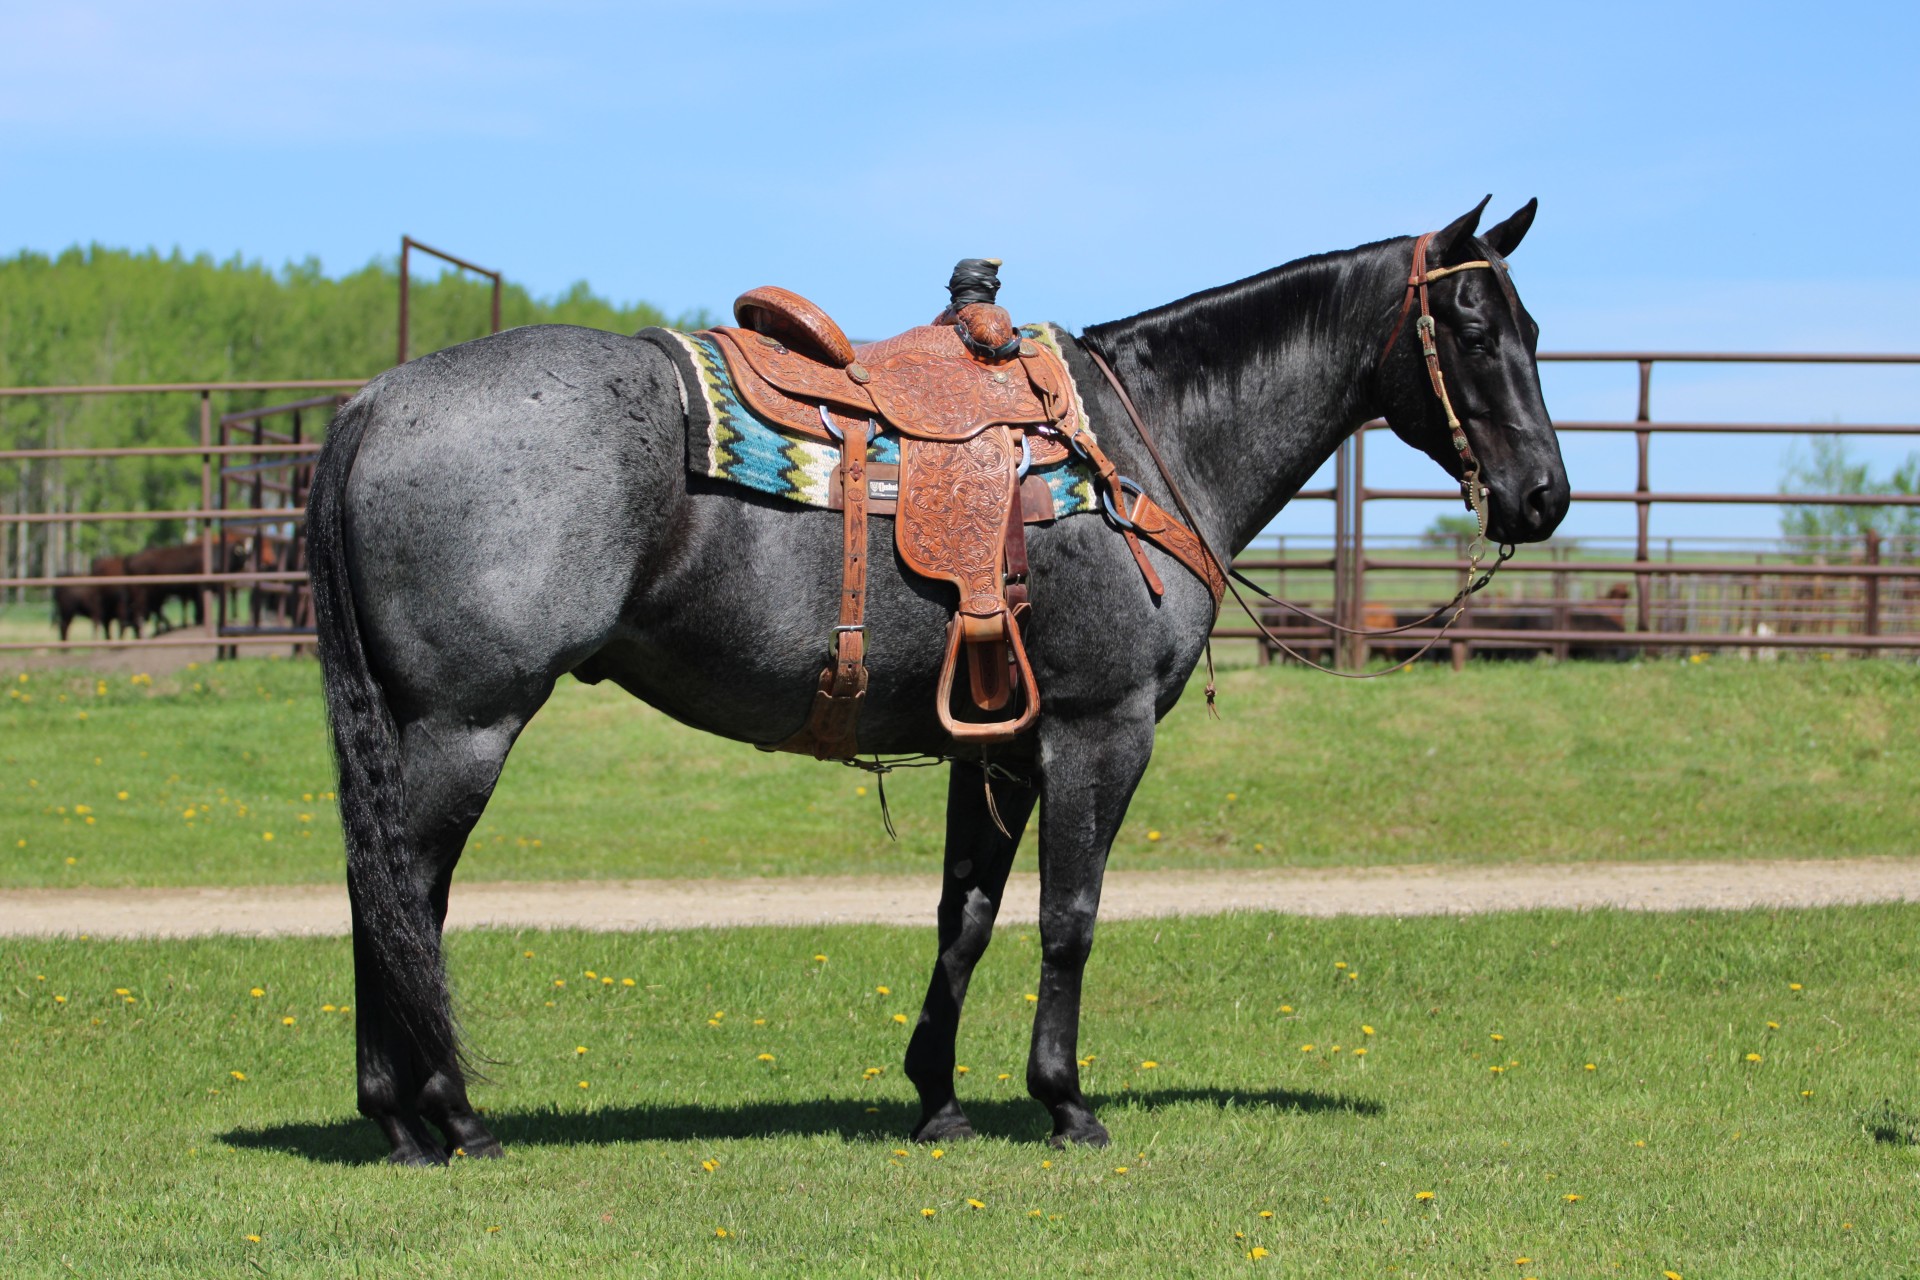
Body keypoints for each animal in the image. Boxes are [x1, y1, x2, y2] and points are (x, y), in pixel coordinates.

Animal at [311, 197, 1559, 1159]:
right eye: (1471, 325)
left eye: (1530, 324)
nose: (1544, 494)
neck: (1143, 446)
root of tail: (377, 398)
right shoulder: (1098, 731)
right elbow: (1068, 915)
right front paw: (1065, 1100)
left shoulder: (996, 746)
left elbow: (966, 915)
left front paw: (940, 1097)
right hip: (468, 724)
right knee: (405, 894)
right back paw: (445, 1115)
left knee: (386, 889)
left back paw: (403, 1114)